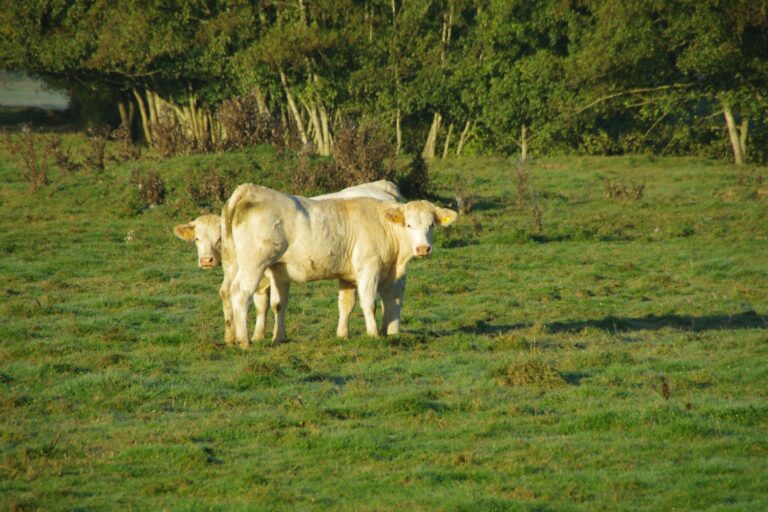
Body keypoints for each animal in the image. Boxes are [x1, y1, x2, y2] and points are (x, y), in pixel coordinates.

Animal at [173, 180, 402, 344]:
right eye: (197, 239)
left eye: (219, 238)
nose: (206, 260)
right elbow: (273, 303)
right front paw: (263, 336)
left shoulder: (265, 275)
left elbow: (262, 304)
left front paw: (256, 336)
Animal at [219, 184, 456, 348]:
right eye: (408, 224)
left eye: (431, 225)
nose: (423, 248)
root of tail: (249, 189)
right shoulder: (368, 268)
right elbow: (369, 302)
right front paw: (373, 335)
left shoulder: (347, 275)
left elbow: (345, 304)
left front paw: (343, 335)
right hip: (253, 265)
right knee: (240, 294)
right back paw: (244, 341)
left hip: (234, 264)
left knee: (228, 293)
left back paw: (233, 338)